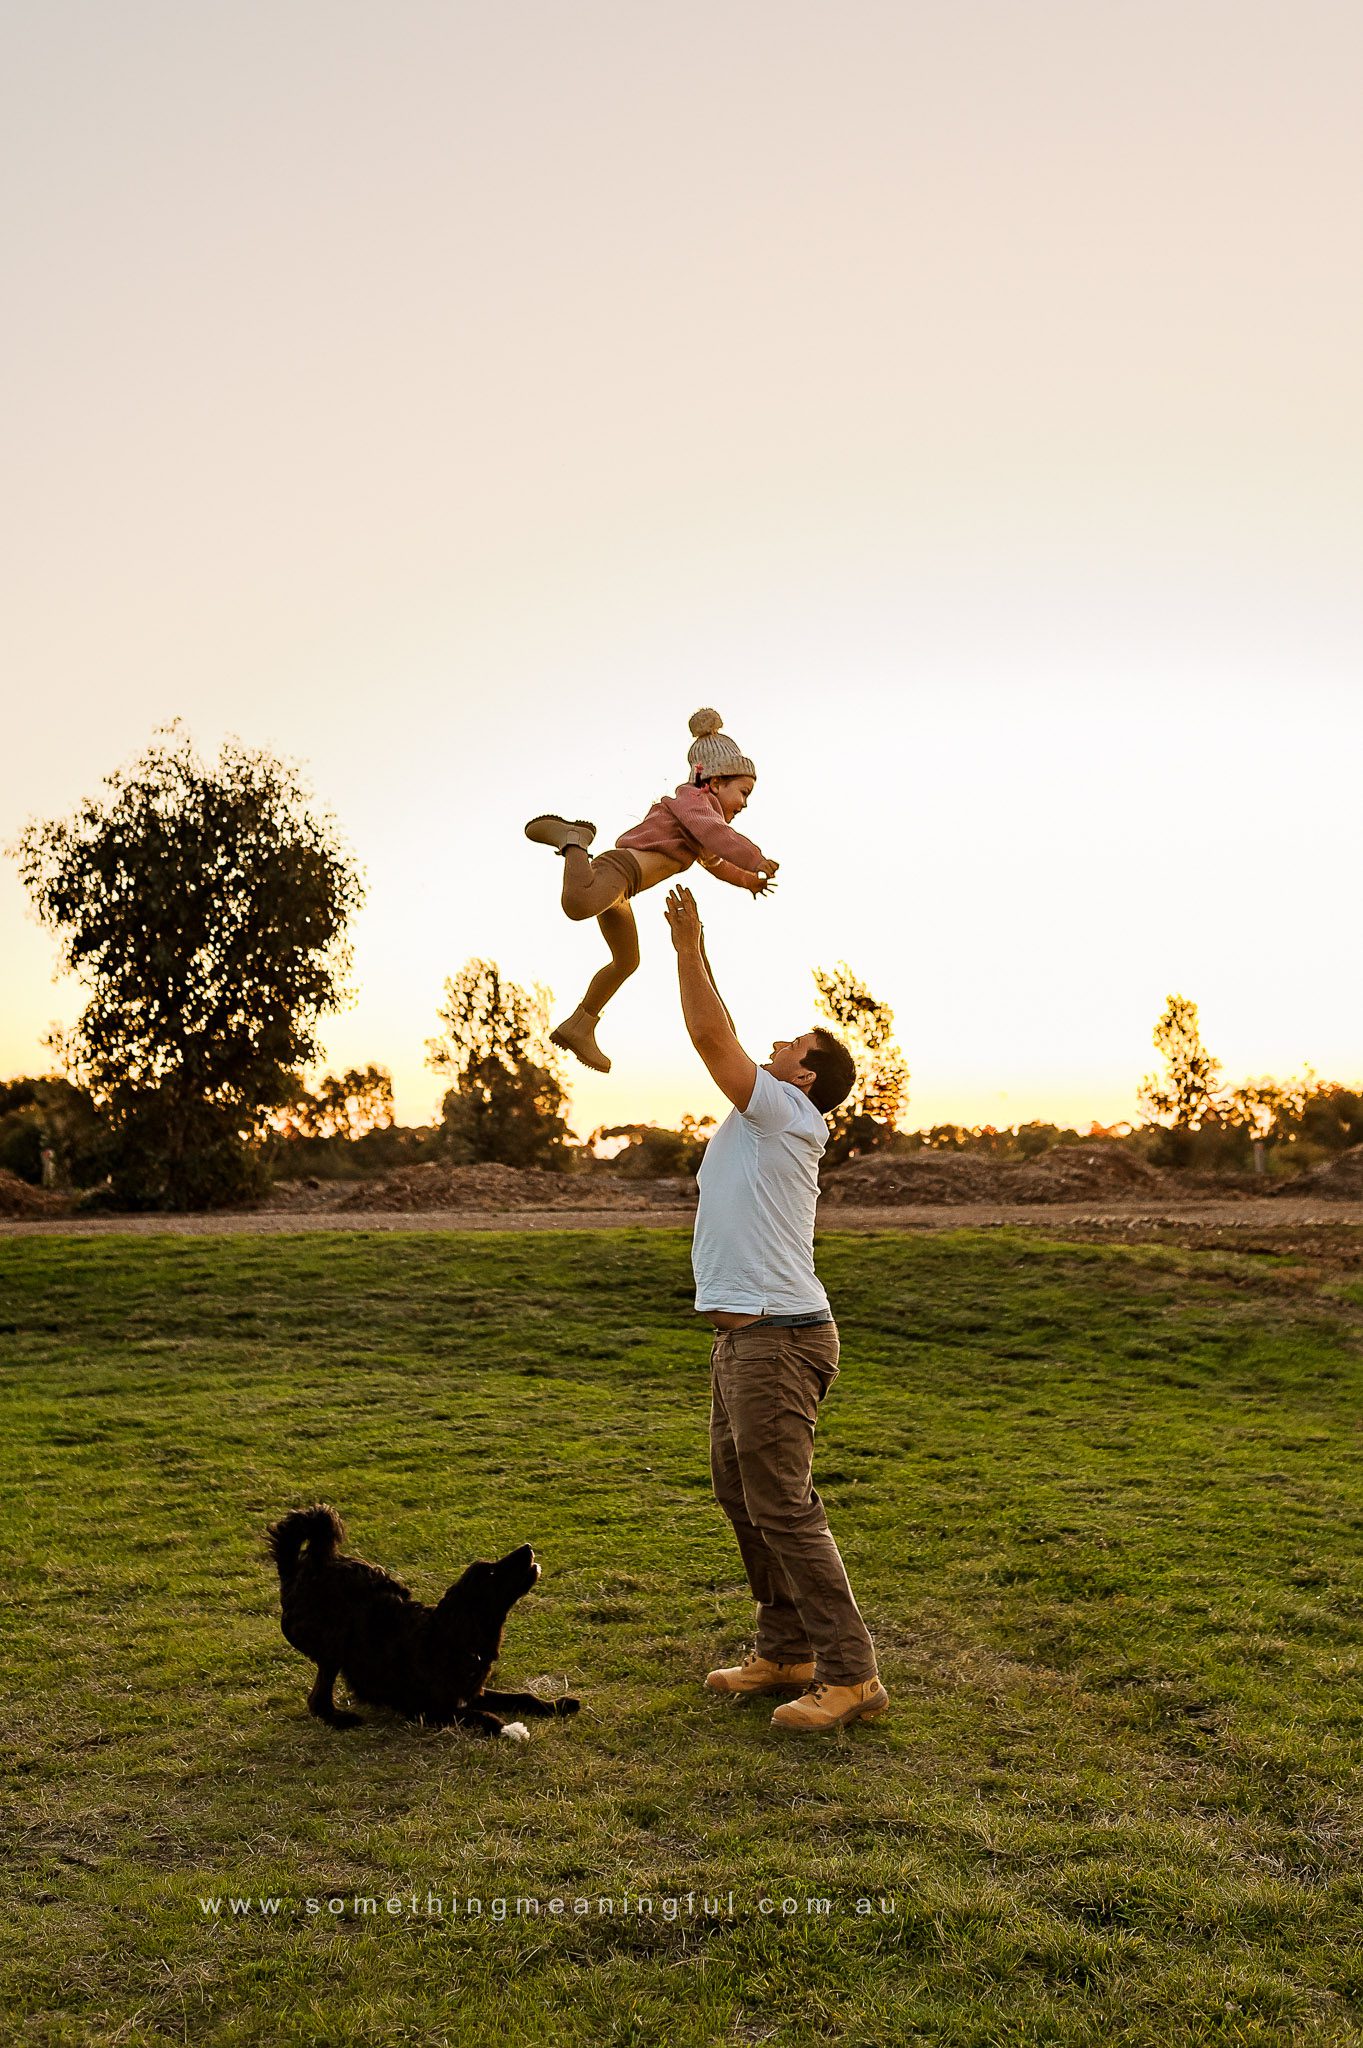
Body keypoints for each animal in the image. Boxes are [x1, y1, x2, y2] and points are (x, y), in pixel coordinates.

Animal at [266, 1507, 577, 1744]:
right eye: (490, 1571)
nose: (528, 1547)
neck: (453, 1637)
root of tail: (297, 1569)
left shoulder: (469, 1693)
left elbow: (524, 1696)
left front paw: (556, 1705)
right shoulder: (427, 1709)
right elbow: (480, 1716)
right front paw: (508, 1729)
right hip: (333, 1644)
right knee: (317, 1698)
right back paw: (338, 1718)